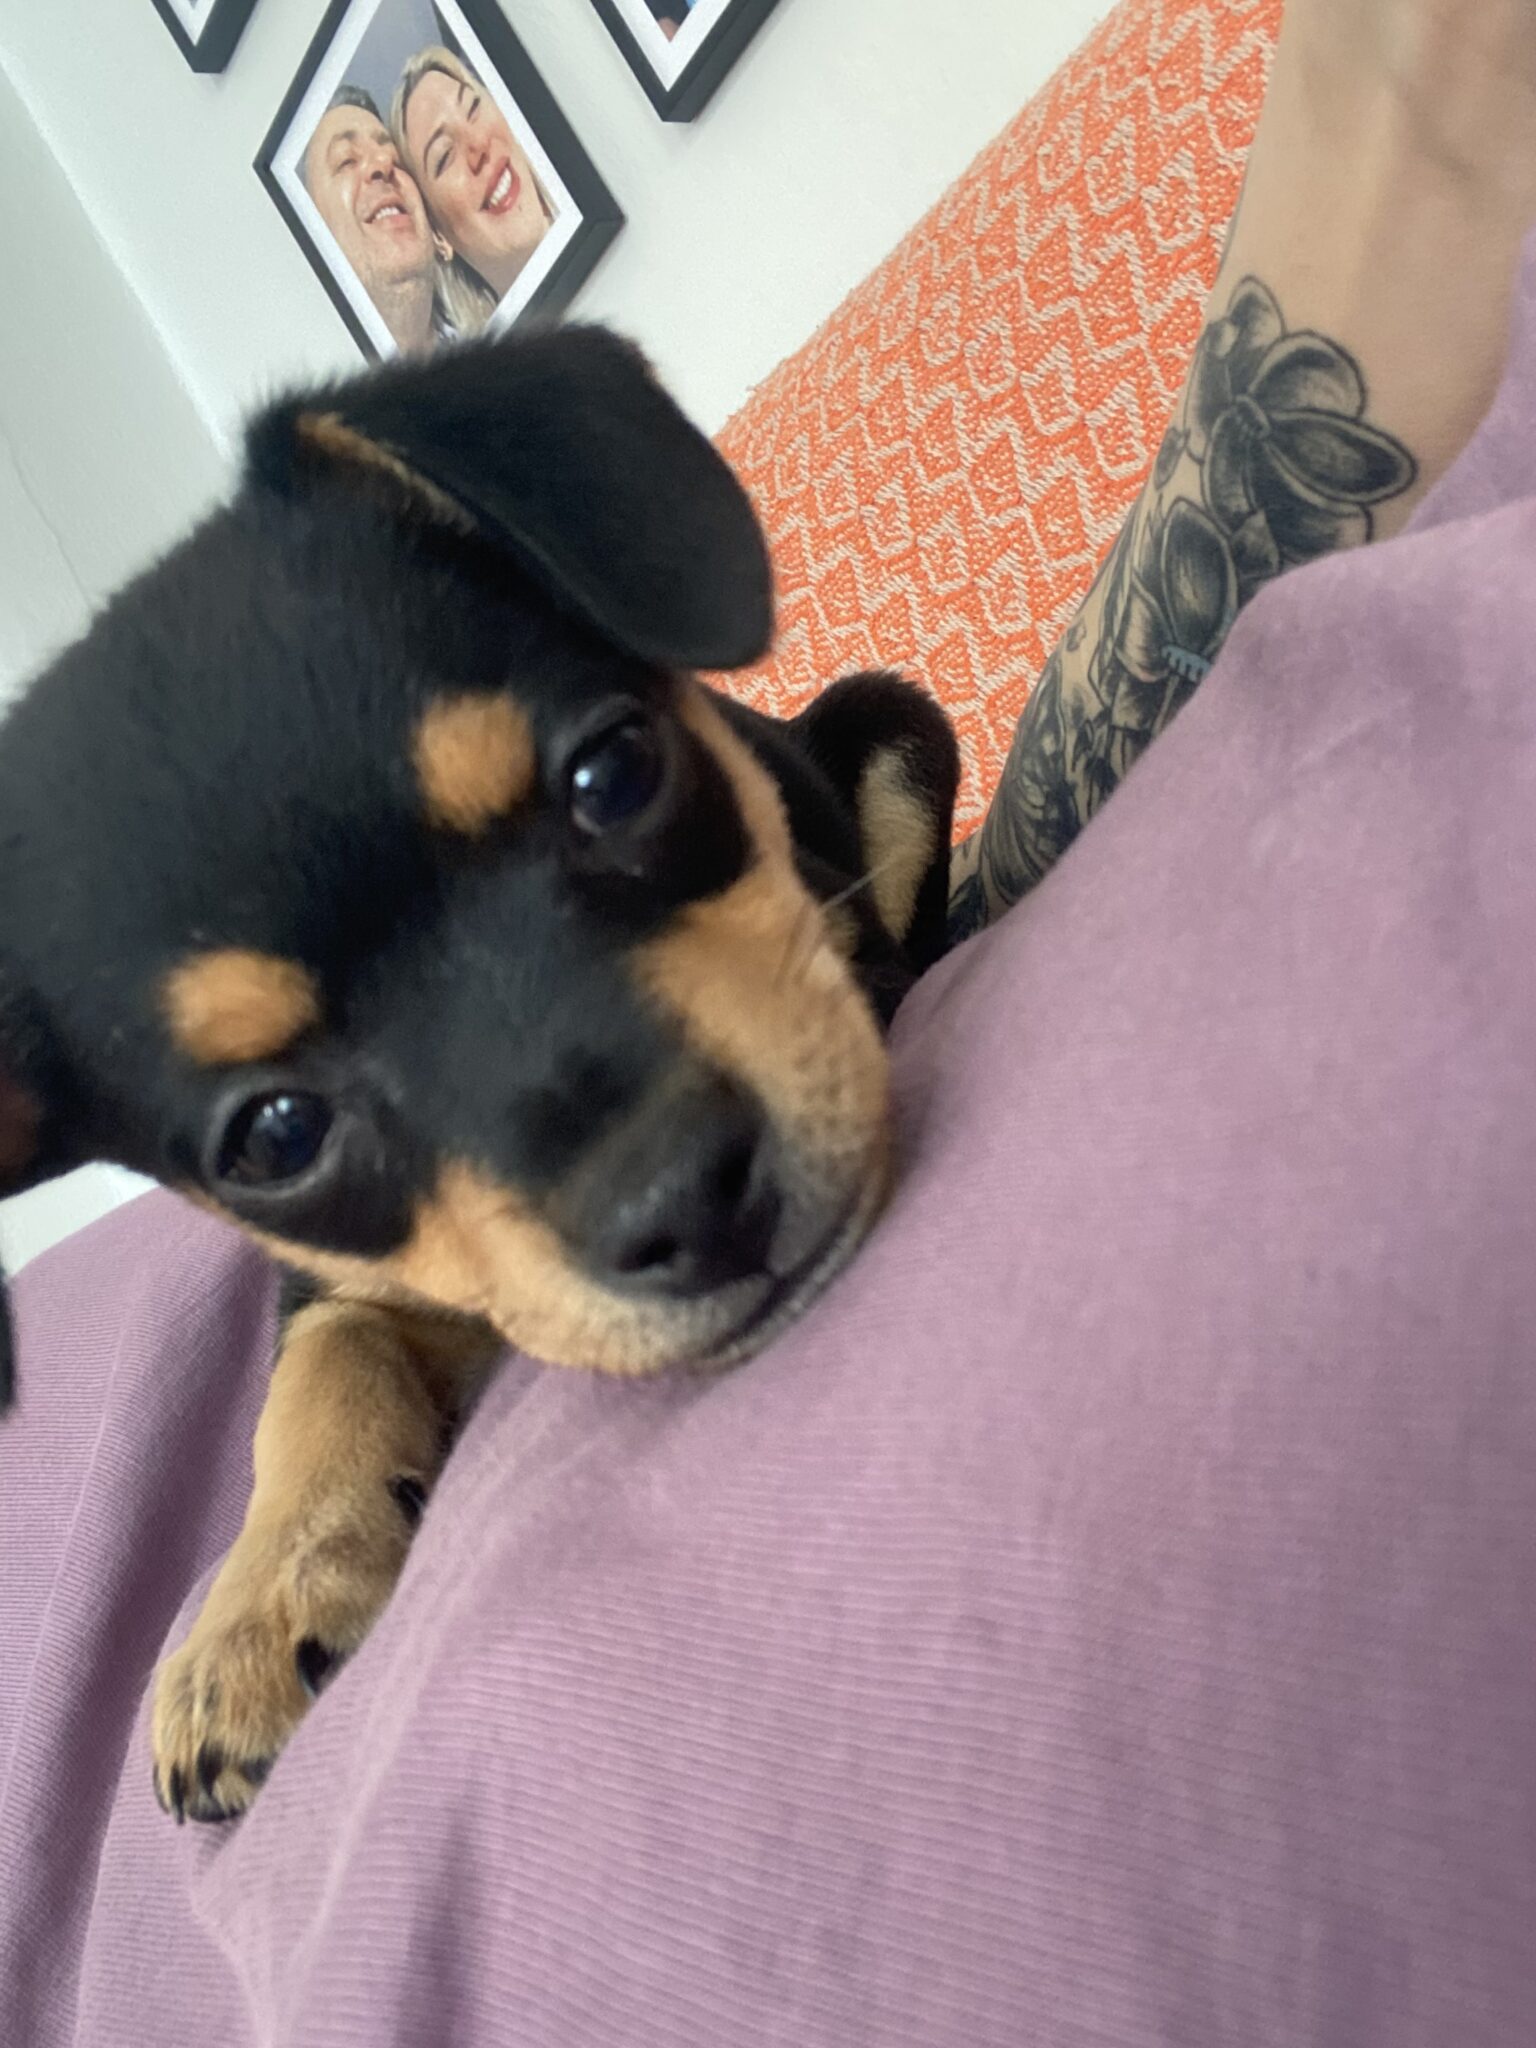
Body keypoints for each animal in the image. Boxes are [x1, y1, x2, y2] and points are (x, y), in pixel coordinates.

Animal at [0, 326, 958, 1822]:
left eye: (615, 770)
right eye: (275, 1136)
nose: (689, 1199)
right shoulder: (349, 1276)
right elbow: (320, 1361)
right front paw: (256, 1603)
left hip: (890, 726)